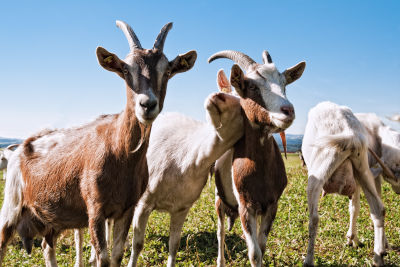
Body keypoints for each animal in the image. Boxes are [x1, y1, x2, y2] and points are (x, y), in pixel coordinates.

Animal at [0, 19, 197, 266]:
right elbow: (102, 257)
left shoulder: (127, 209)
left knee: (47, 246)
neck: (119, 152)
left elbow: (117, 254)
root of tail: (23, 146)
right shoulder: (95, 209)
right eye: (126, 70)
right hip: (12, 203)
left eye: (168, 71)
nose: (147, 105)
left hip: (52, 215)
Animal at [208, 49, 304, 266]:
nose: (288, 111)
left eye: (284, 84)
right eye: (252, 86)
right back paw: (220, 260)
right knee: (220, 233)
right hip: (219, 199)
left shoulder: (271, 204)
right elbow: (254, 253)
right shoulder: (246, 205)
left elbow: (262, 246)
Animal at [304, 101, 388, 266]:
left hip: (319, 169)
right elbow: (354, 208)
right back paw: (378, 257)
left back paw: (308, 260)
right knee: (378, 209)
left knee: (314, 219)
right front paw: (353, 240)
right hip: (362, 167)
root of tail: (350, 135)